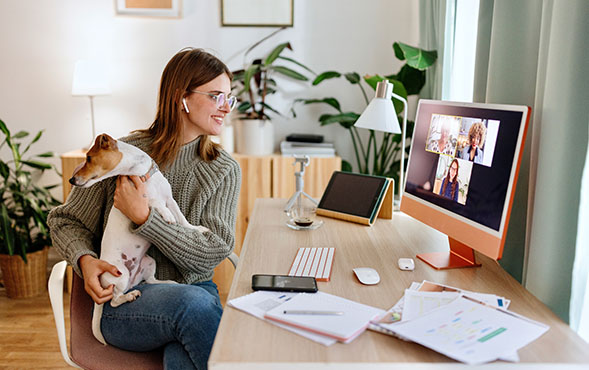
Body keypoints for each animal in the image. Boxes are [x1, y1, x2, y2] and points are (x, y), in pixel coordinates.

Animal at [69, 134, 209, 346]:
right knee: (115, 300)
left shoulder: (170, 199)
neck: (141, 172)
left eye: (89, 158)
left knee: (150, 280)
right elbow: (155, 202)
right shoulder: (142, 200)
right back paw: (130, 296)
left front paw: (197, 229)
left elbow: (183, 219)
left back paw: (168, 282)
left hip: (148, 262)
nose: (71, 179)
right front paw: (167, 216)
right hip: (120, 274)